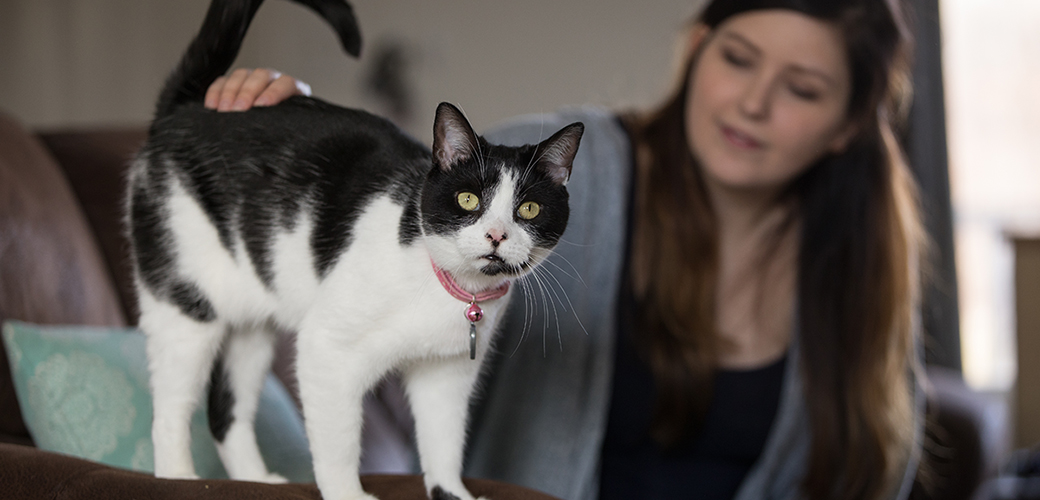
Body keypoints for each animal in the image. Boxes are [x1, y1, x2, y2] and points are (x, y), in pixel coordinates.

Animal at [125, 0, 582, 498]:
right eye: (468, 200)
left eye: (529, 208)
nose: (497, 235)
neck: (447, 291)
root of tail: (184, 108)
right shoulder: (326, 351)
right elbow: (339, 441)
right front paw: (347, 492)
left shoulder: (446, 374)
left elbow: (443, 443)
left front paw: (452, 492)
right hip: (186, 307)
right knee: (171, 410)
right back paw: (178, 477)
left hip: (251, 327)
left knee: (227, 411)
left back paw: (256, 479)